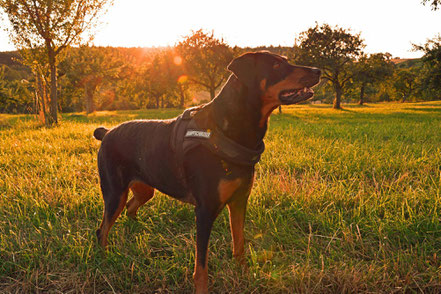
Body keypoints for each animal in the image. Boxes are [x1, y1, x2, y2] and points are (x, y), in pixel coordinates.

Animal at [93, 51, 320, 292]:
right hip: (114, 192)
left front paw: (244, 274)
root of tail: (107, 133)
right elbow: (201, 264)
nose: (318, 71)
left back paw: (136, 228)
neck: (231, 129)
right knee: (103, 228)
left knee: (130, 206)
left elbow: (239, 243)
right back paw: (105, 258)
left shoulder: (239, 201)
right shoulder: (204, 210)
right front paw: (202, 288)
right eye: (277, 65)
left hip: (145, 188)